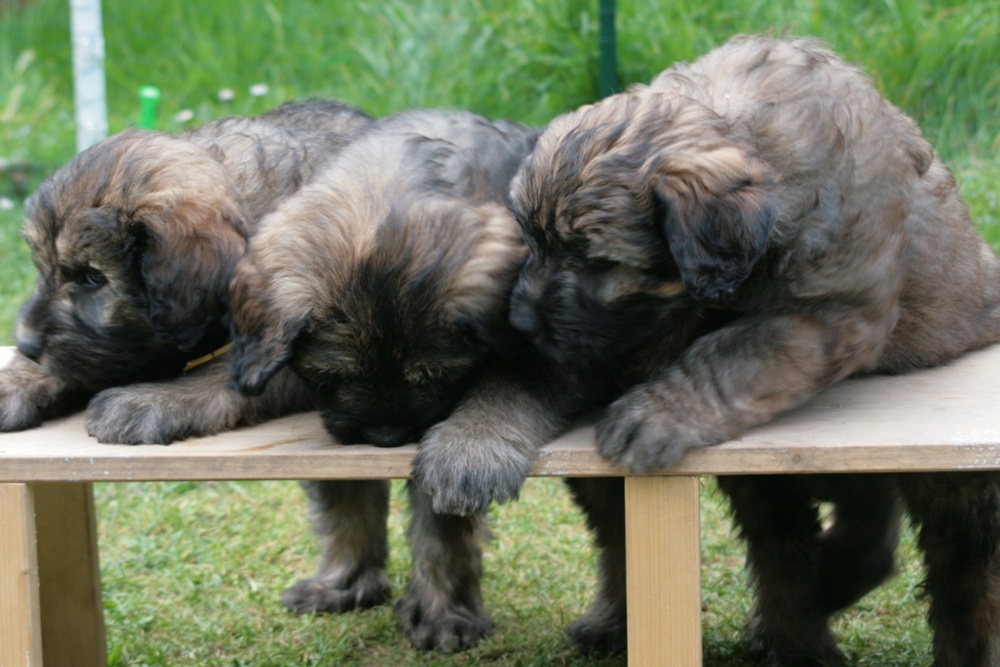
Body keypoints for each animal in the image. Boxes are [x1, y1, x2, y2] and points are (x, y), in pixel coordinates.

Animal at [1, 100, 374, 444]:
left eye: (94, 277)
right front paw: (18, 379)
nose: (27, 344)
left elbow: (226, 376)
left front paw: (150, 400)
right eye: (42, 266)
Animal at [229, 109, 540, 652]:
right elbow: (347, 504)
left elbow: (442, 528)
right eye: (334, 375)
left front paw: (442, 615)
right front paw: (347, 582)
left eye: (436, 375)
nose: (387, 439)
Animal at [424, 37, 1000, 667]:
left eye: (598, 262)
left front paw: (655, 412)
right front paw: (470, 443)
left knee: (954, 572)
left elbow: (728, 354)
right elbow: (529, 380)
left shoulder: (826, 314)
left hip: (947, 487)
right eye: (531, 239)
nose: (522, 321)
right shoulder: (599, 344)